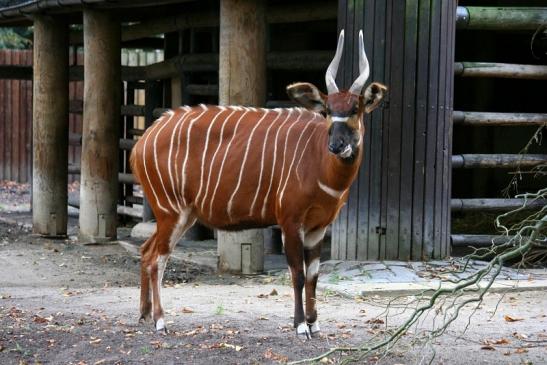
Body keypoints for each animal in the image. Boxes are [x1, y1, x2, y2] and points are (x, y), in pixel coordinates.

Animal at [131, 29, 388, 336]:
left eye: (356, 109)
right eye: (327, 110)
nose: (337, 145)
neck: (320, 167)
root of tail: (142, 141)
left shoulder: (318, 227)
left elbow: (313, 275)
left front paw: (314, 324)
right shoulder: (290, 221)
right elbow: (298, 274)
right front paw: (301, 326)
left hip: (180, 215)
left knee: (146, 251)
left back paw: (145, 314)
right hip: (171, 211)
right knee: (158, 258)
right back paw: (160, 321)